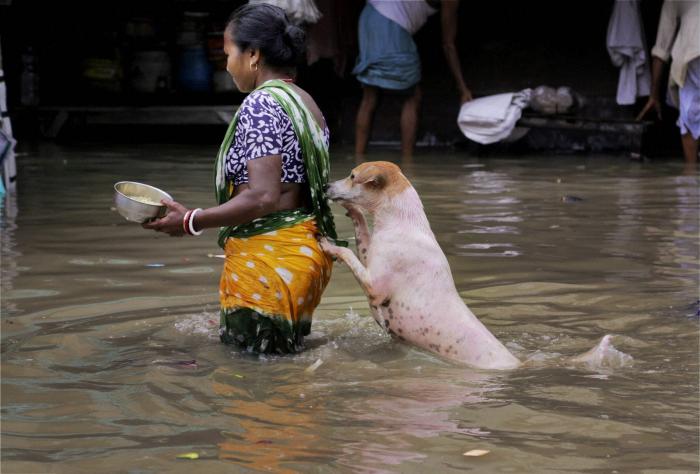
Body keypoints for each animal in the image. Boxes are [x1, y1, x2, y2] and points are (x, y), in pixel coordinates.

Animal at [320, 161, 524, 368]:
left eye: (352, 176)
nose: (325, 186)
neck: (401, 221)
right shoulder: (369, 258)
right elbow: (361, 233)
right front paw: (354, 211)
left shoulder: (374, 287)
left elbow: (347, 252)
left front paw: (328, 245)